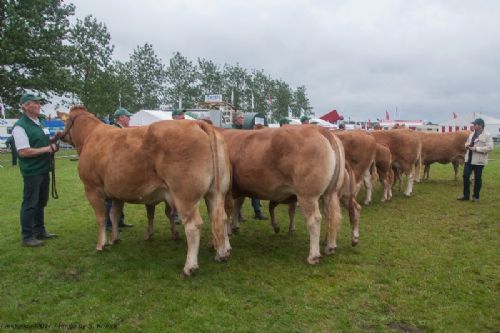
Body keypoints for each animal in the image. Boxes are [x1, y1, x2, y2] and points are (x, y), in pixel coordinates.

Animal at [58, 106, 232, 274]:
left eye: (65, 122)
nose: (60, 135)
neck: (90, 136)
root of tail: (197, 123)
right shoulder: (116, 194)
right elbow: (114, 215)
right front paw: (114, 239)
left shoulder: (91, 188)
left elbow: (101, 217)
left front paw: (101, 244)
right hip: (216, 193)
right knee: (220, 217)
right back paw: (222, 254)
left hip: (185, 195)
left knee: (193, 225)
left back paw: (190, 266)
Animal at [221, 124, 346, 262]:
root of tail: (319, 129)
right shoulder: (239, 189)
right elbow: (237, 206)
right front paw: (234, 227)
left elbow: (228, 212)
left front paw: (228, 233)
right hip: (330, 193)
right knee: (332, 216)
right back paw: (330, 247)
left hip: (308, 195)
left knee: (314, 219)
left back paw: (313, 256)